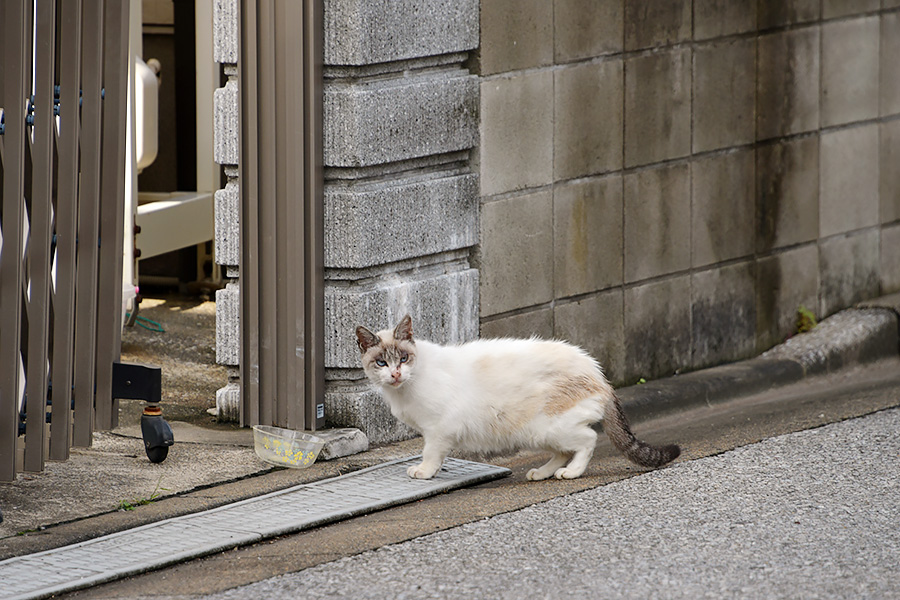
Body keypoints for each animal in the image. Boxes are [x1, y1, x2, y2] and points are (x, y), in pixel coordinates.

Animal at [356, 314, 680, 478]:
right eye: (381, 363)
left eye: (403, 358)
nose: (395, 374)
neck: (403, 390)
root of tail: (599, 375)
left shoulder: (439, 429)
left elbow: (430, 453)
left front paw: (424, 472)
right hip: (537, 432)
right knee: (563, 450)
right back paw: (542, 472)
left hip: (549, 426)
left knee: (587, 440)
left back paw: (572, 473)